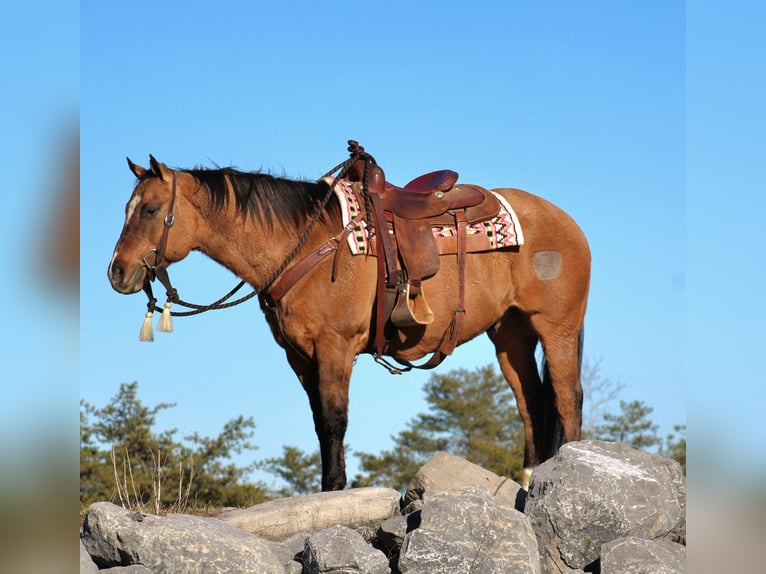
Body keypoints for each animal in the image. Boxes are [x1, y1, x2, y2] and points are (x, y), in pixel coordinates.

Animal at [108, 146, 592, 492]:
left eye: (150, 210)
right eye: (127, 209)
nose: (116, 272)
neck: (304, 246)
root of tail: (568, 222)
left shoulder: (335, 347)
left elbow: (334, 421)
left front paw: (336, 490)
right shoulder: (301, 358)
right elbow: (320, 424)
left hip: (557, 328)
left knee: (567, 398)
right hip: (510, 336)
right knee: (531, 405)